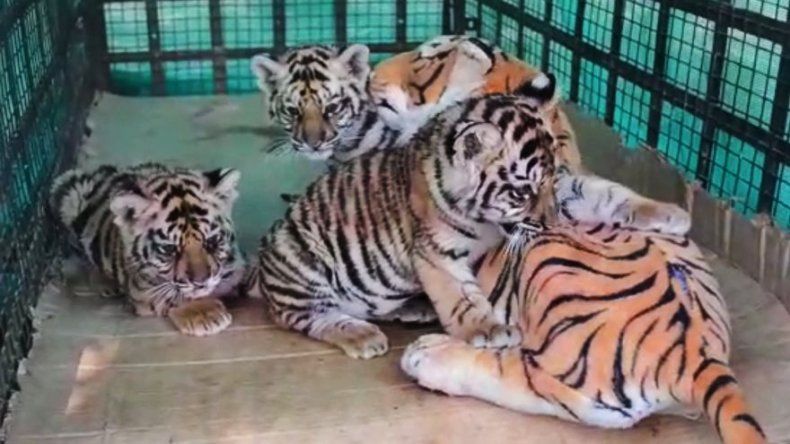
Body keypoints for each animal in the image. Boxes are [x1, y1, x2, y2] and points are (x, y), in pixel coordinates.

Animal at [50, 163, 246, 336]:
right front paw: (205, 314)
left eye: (212, 241)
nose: (202, 282)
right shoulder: (142, 289)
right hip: (71, 194)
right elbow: (173, 294)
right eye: (169, 249)